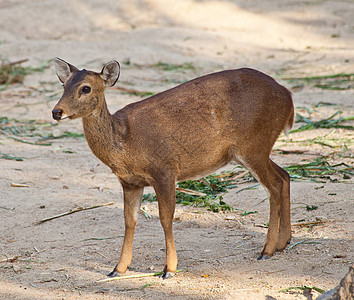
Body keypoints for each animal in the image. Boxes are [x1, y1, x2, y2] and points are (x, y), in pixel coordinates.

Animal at [51, 58, 294, 278]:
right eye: (64, 85)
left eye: (86, 88)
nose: (56, 112)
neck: (125, 144)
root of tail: (288, 98)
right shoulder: (129, 182)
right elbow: (129, 220)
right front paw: (117, 269)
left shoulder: (165, 170)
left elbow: (166, 218)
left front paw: (169, 269)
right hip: (253, 150)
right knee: (285, 175)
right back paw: (283, 242)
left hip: (254, 145)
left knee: (274, 184)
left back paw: (266, 250)